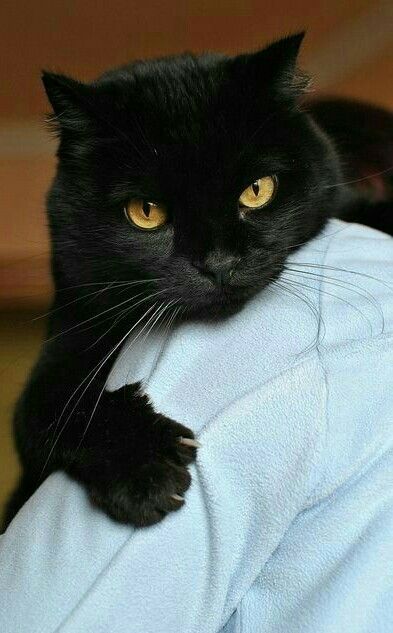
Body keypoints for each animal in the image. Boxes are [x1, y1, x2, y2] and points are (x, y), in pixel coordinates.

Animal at [3, 33, 392, 528]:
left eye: (257, 190)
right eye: (146, 212)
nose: (219, 263)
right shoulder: (64, 346)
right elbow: (57, 410)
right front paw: (145, 470)